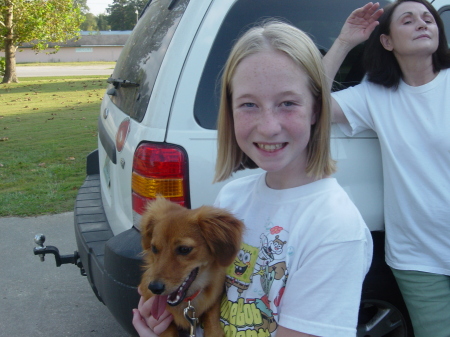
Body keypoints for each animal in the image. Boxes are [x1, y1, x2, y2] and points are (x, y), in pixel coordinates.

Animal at [139, 197, 244, 336]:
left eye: (184, 249)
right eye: (154, 248)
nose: (154, 288)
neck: (188, 300)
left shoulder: (215, 296)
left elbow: (212, 316)